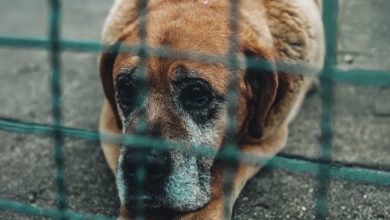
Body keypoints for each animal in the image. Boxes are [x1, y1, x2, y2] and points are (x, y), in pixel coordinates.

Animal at [99, 0, 324, 219]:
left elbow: (226, 167)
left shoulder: (268, 135)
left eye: (197, 93)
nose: (142, 166)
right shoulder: (110, 122)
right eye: (127, 89)